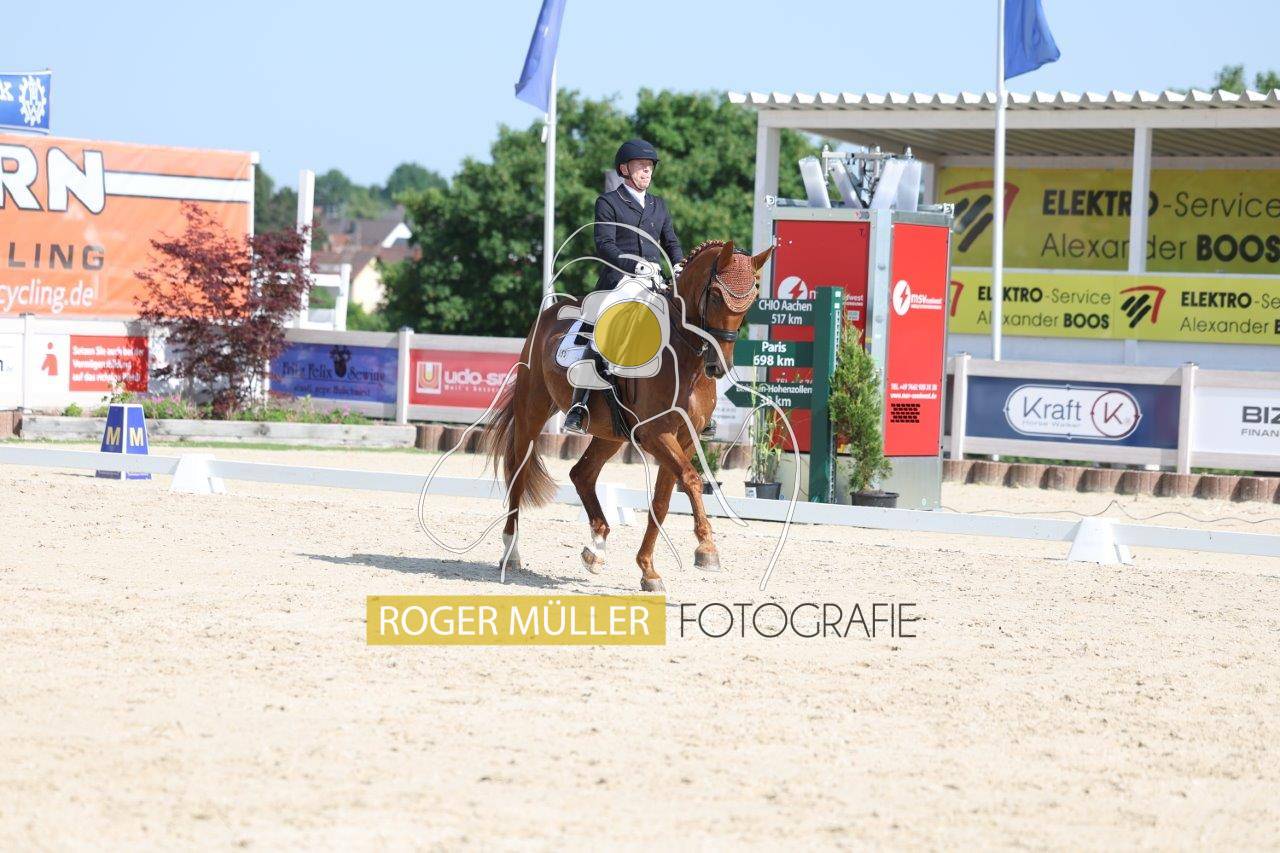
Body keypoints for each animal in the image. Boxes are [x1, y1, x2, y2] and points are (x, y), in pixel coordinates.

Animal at [483, 239, 772, 591]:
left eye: (752, 300)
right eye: (716, 294)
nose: (718, 366)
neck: (683, 356)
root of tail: (550, 312)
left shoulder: (684, 437)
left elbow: (663, 499)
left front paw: (649, 571)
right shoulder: (656, 433)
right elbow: (691, 480)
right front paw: (707, 549)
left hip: (611, 432)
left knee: (582, 474)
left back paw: (596, 549)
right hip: (533, 411)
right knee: (519, 473)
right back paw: (511, 553)